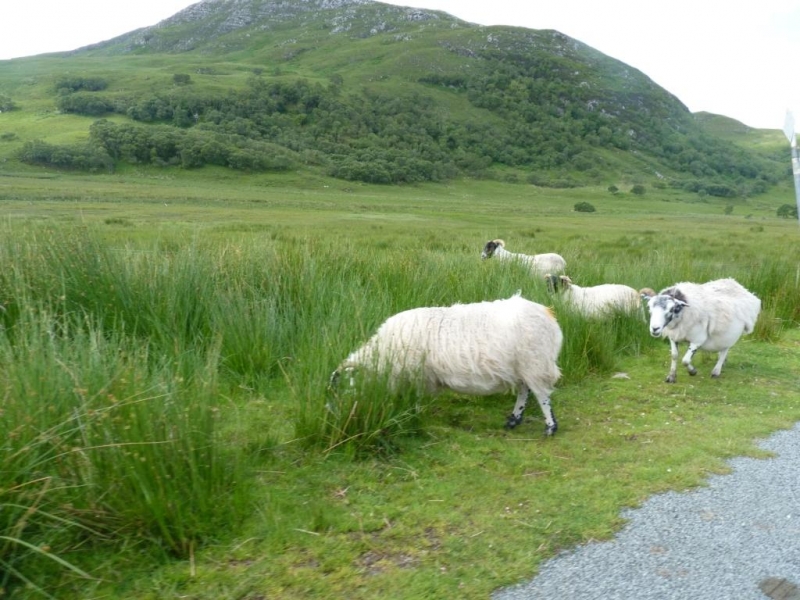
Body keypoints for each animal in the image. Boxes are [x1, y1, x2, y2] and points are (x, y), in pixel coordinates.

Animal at [330, 292, 564, 434]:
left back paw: (550, 427)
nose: (338, 417)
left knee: (541, 395)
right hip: (524, 366)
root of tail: (548, 313)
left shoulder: (416, 375)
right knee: (525, 390)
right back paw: (514, 420)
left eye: (344, 388)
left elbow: (415, 399)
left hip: (535, 362)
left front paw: (413, 415)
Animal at [636, 278, 764, 382]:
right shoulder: (674, 336)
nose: (655, 329)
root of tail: (739, 286)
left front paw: (692, 371)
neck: (682, 313)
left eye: (673, 309)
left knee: (724, 350)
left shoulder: (698, 340)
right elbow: (674, 355)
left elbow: (685, 360)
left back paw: (716, 371)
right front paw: (671, 377)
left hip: (729, 335)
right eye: (649, 307)